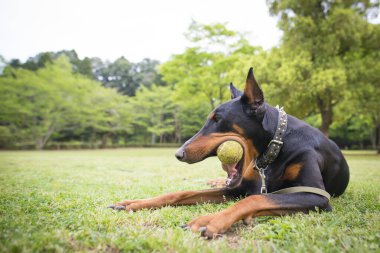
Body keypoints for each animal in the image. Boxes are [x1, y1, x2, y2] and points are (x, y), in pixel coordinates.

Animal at [108, 68, 348, 238]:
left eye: (217, 120)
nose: (178, 153)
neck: (277, 145)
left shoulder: (316, 196)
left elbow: (254, 200)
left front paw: (209, 220)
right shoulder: (239, 188)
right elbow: (181, 193)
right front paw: (135, 203)